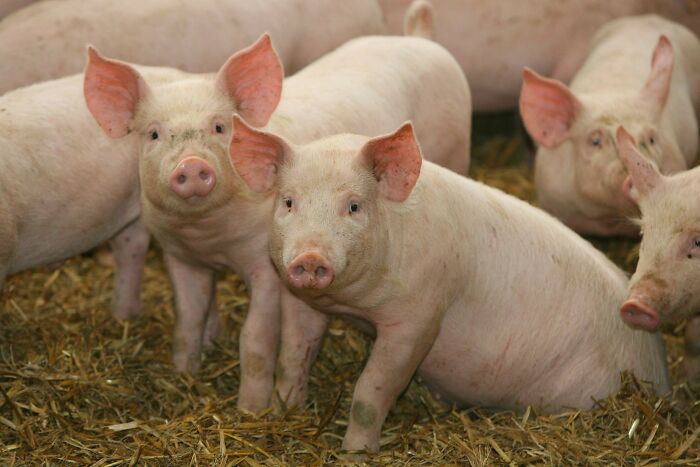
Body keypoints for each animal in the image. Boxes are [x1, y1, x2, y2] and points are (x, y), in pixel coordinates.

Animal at [82, 33, 471, 412]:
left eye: (219, 127)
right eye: (153, 134)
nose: (192, 165)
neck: (210, 236)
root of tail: (419, 39)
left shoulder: (267, 266)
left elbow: (255, 337)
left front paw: (251, 411)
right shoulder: (180, 257)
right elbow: (188, 320)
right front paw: (184, 374)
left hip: (457, 150)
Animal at [230, 117, 670, 454]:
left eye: (354, 206)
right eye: (289, 202)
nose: (310, 257)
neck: (354, 306)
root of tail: (661, 372)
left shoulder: (419, 317)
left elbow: (371, 391)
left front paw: (355, 453)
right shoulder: (302, 301)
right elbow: (293, 357)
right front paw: (283, 412)